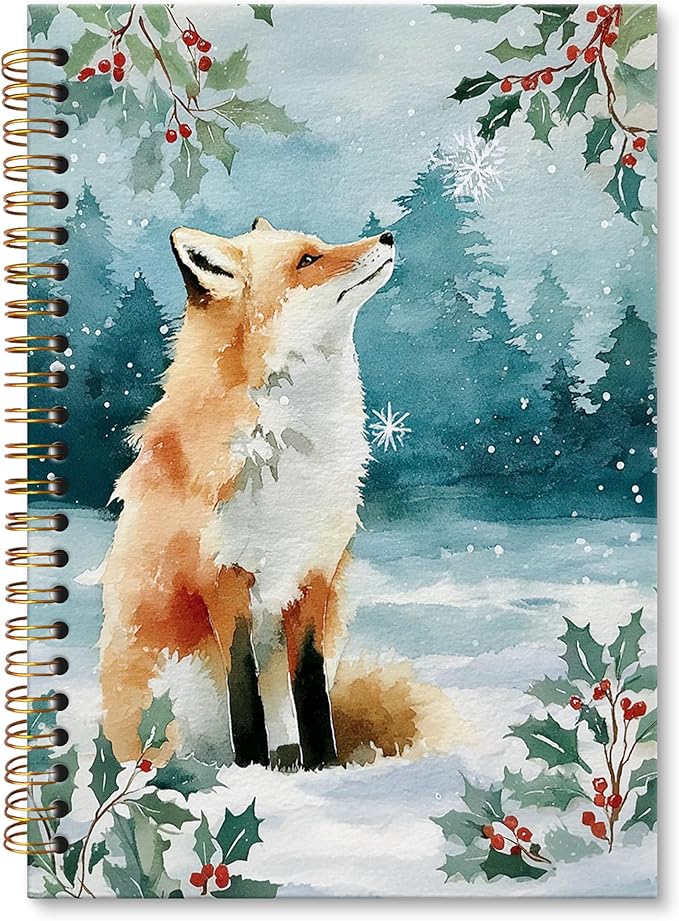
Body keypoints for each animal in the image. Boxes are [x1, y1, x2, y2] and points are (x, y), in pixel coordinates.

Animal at [98, 217, 395, 770]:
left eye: (319, 247)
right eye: (307, 261)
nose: (387, 237)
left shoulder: (311, 575)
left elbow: (310, 688)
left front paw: (324, 766)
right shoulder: (221, 577)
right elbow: (243, 687)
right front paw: (251, 770)